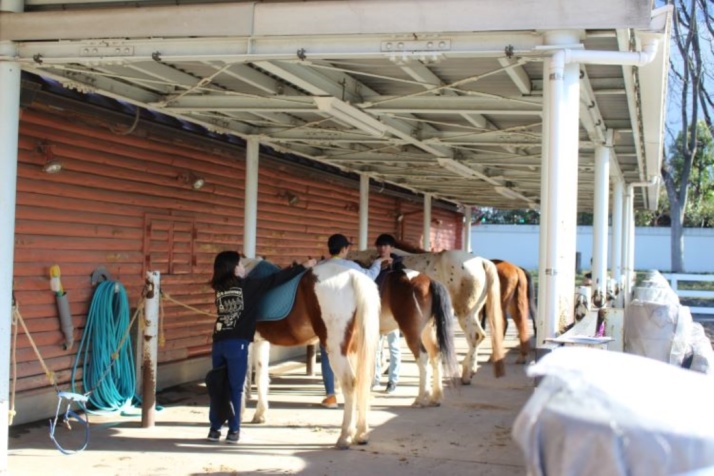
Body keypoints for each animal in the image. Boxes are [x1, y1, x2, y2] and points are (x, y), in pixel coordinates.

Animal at [242, 258, 382, 448]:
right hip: (353, 350)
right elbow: (261, 377)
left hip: (336, 350)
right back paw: (361, 434)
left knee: (349, 383)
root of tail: (353, 276)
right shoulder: (261, 342)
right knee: (362, 382)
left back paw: (345, 436)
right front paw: (260, 414)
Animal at [346, 245, 504, 384]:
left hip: (465, 312)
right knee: (478, 336)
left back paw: (466, 374)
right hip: (473, 312)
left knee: (475, 336)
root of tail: (481, 261)